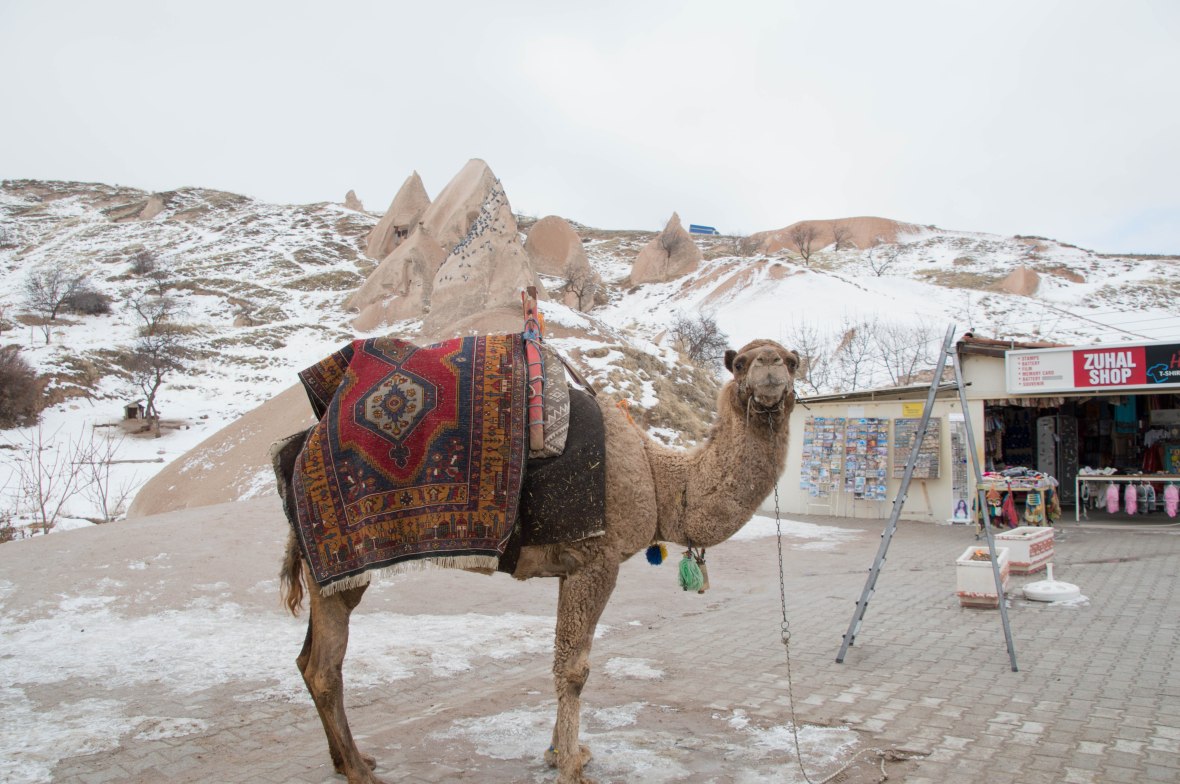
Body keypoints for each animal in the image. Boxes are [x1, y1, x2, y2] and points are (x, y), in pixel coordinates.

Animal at [275, 338, 799, 784]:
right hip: (342, 559)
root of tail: (291, 454)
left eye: (793, 362)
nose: (771, 366)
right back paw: (359, 771)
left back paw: (350, 760)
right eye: (740, 363)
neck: (658, 479)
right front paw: (571, 765)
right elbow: (575, 668)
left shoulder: (575, 566)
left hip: (325, 569)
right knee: (325, 666)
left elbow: (566, 658)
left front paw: (563, 752)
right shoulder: (597, 561)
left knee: (307, 659)